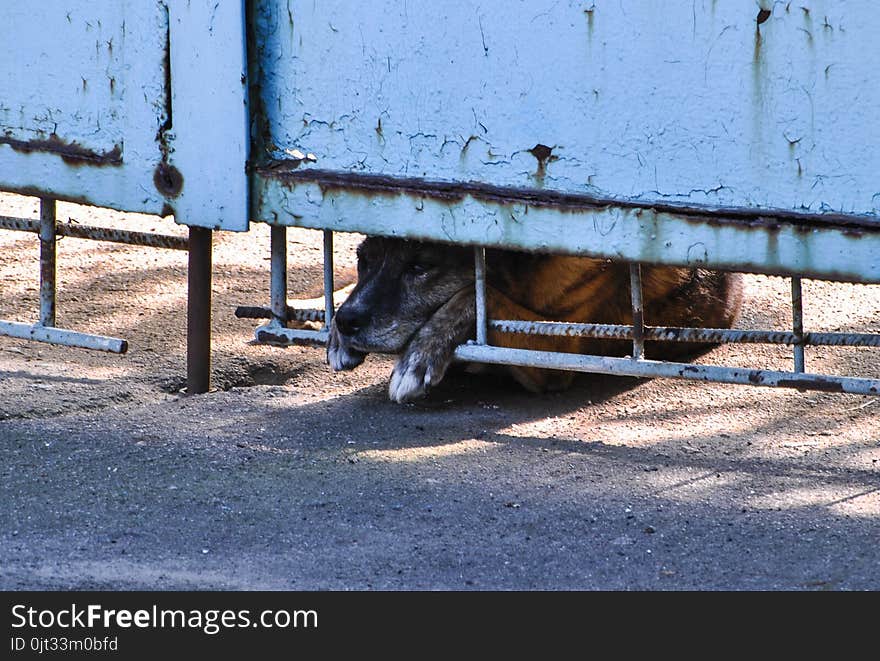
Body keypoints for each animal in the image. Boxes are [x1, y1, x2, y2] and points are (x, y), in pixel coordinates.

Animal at [326, 237, 740, 402]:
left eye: (419, 267)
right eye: (363, 260)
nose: (347, 322)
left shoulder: (558, 352)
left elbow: (476, 295)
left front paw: (417, 359)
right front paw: (335, 336)